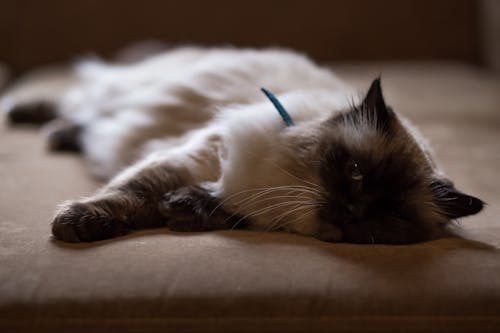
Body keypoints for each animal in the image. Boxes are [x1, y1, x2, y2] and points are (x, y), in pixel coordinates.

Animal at [0, 46, 484, 243]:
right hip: (123, 92)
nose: (355, 211)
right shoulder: (196, 155)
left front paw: (184, 211)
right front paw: (76, 225)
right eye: (355, 172)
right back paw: (32, 119)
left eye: (393, 214)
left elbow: (212, 210)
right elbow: (129, 192)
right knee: (77, 100)